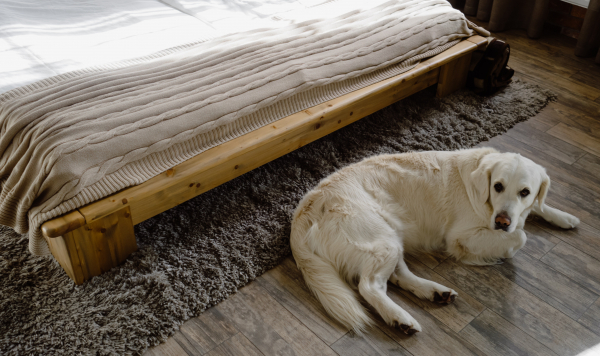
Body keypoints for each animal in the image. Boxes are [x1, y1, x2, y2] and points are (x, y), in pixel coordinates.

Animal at [288, 147, 580, 334]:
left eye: (525, 191)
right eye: (498, 186)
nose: (501, 221)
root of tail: (306, 207)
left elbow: (539, 207)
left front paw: (565, 217)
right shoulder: (461, 237)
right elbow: (521, 235)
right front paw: (501, 251)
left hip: (391, 238)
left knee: (398, 277)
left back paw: (435, 292)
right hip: (381, 240)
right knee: (369, 286)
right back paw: (400, 318)